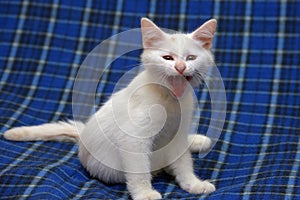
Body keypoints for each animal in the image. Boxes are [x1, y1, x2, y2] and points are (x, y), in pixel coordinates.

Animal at [4, 17, 218, 200]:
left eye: (190, 58)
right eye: (167, 57)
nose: (180, 67)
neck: (171, 100)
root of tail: (83, 138)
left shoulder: (177, 136)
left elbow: (184, 164)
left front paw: (193, 184)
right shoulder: (134, 139)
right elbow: (139, 171)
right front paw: (144, 194)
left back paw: (197, 140)